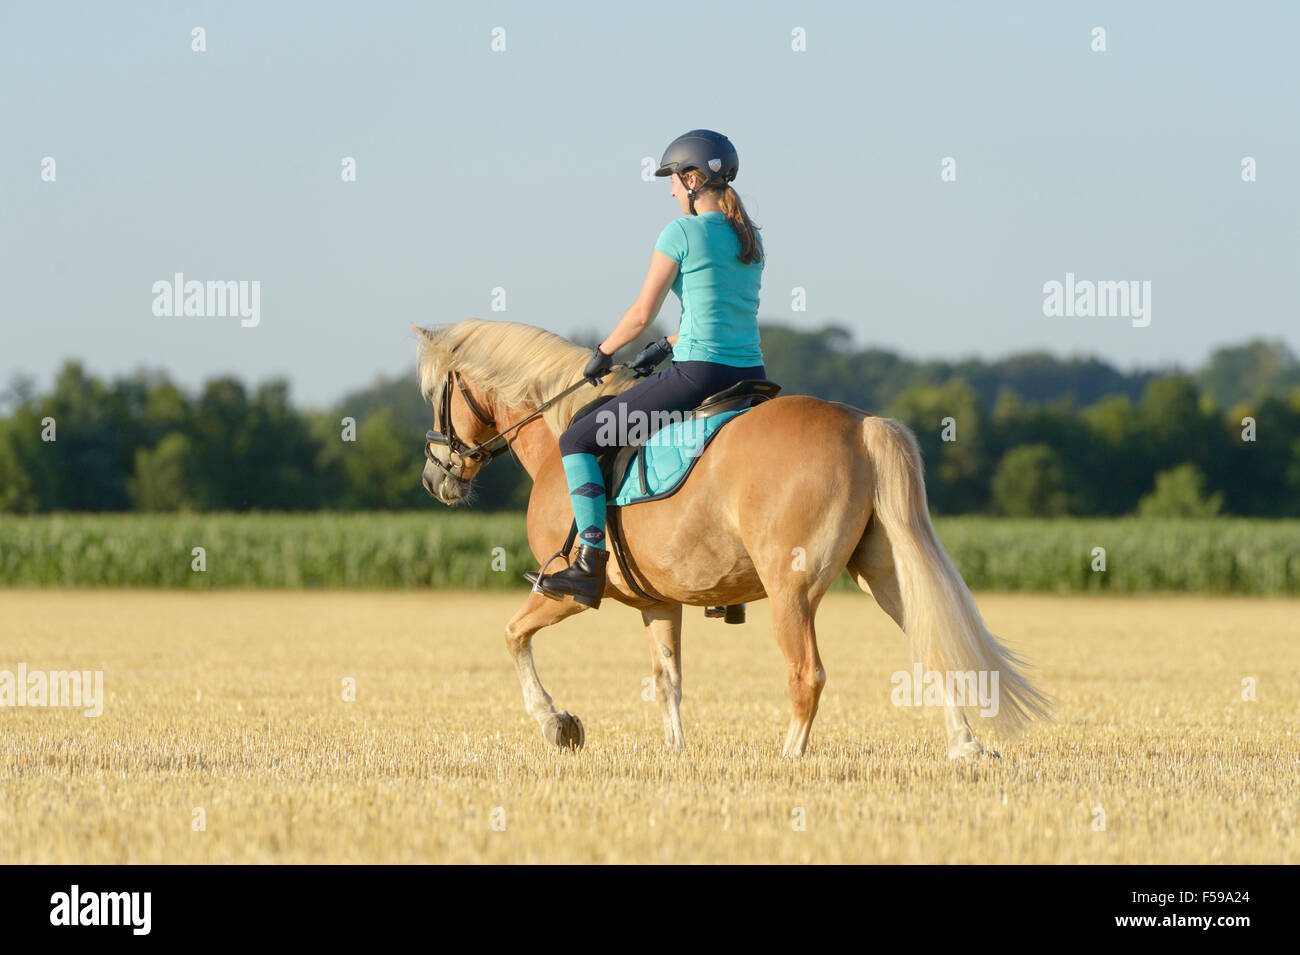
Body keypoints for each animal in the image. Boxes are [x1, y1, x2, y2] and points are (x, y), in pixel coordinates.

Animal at [416, 320, 1045, 764]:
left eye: (434, 396)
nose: (433, 478)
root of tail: (859, 424)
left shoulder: (563, 592)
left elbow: (513, 636)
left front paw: (558, 725)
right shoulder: (658, 603)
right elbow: (667, 680)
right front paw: (676, 753)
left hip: (792, 591)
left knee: (807, 675)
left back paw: (788, 758)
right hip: (886, 575)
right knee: (935, 648)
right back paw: (965, 747)